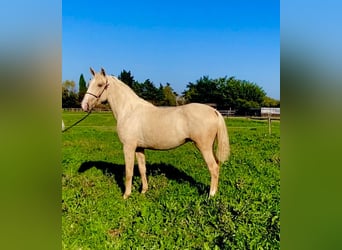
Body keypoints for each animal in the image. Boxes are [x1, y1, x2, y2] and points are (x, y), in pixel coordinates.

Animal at [81, 67, 228, 198]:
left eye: (100, 84)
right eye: (89, 83)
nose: (84, 105)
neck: (129, 111)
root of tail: (213, 111)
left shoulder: (128, 147)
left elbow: (129, 171)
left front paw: (126, 195)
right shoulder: (139, 148)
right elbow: (142, 169)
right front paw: (143, 191)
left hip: (203, 147)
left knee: (213, 168)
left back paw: (211, 195)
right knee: (217, 166)